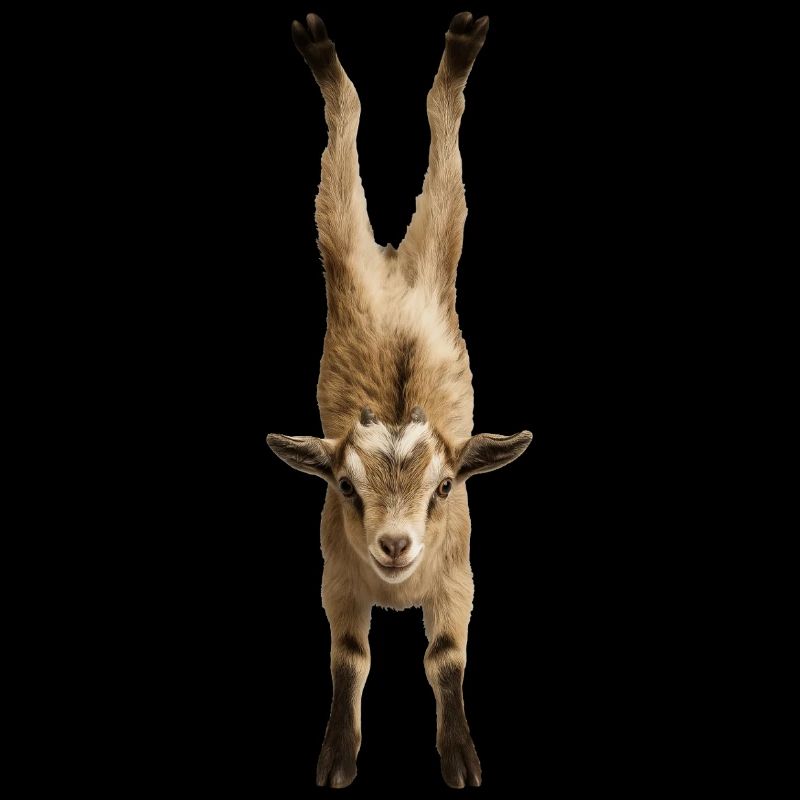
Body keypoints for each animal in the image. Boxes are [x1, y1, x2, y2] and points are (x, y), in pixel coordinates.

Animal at [267, 12, 532, 789]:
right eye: (346, 488)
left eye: (445, 487)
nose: (394, 545)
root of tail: (389, 261)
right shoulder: (336, 578)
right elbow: (348, 658)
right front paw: (337, 758)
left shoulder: (459, 579)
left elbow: (445, 659)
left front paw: (460, 758)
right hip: (341, 243)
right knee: (346, 141)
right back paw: (323, 52)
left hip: (442, 242)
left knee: (444, 152)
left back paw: (459, 50)